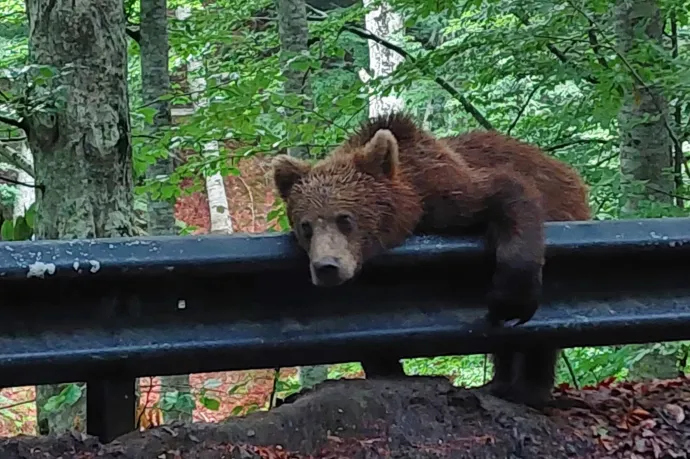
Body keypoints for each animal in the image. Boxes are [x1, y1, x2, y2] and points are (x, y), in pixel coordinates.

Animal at [268, 113, 584, 408]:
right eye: (306, 226)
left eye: (345, 219)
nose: (327, 267)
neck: (413, 206)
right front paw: (386, 368)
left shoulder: (452, 189)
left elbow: (507, 193)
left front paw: (510, 299)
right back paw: (501, 382)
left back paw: (527, 388)